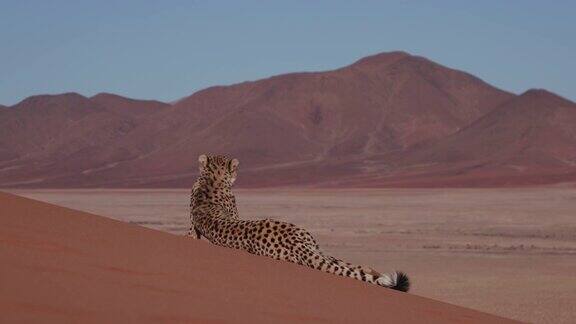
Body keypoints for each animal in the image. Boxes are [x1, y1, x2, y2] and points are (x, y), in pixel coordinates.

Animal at [188, 153, 410, 292]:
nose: (236, 173)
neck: (212, 179)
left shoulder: (193, 227)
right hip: (312, 245)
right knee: (343, 264)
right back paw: (375, 273)